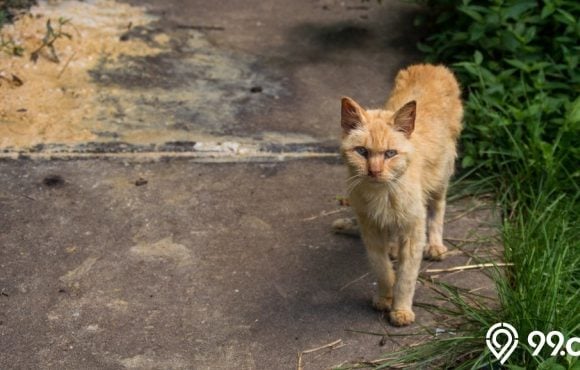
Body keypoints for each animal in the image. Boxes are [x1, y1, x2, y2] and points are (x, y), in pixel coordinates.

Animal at [340, 64, 462, 326]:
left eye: (390, 154)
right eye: (362, 151)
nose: (374, 171)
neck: (383, 193)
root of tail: (431, 66)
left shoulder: (414, 228)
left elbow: (407, 276)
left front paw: (401, 309)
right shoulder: (370, 228)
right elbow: (381, 267)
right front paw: (385, 296)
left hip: (441, 177)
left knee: (438, 208)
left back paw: (435, 244)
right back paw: (394, 248)